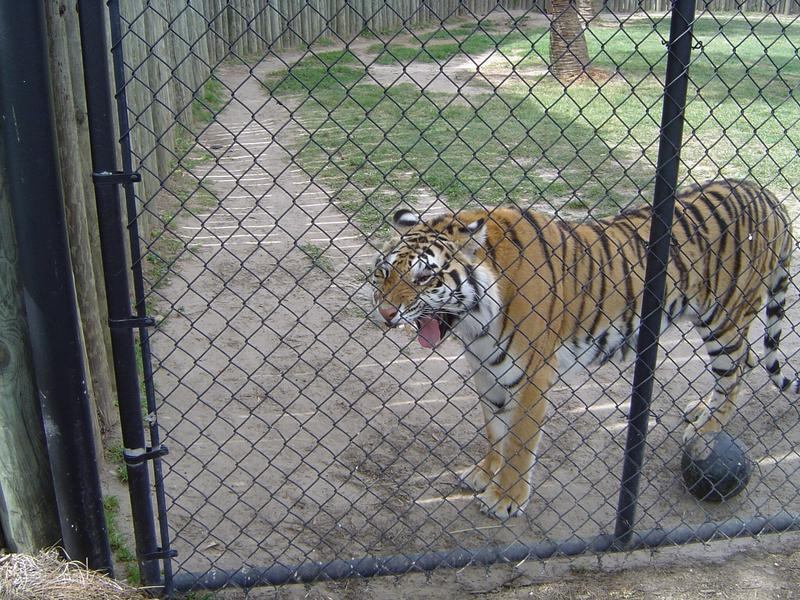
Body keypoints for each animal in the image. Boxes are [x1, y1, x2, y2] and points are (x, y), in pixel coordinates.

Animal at [372, 179, 796, 520]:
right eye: (384, 272)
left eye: (424, 277)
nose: (386, 312)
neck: (475, 321)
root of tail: (768, 194)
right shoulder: (487, 369)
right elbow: (494, 430)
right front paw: (483, 473)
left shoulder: (532, 374)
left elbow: (519, 441)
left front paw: (506, 499)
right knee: (747, 361)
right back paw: (699, 411)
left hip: (725, 317)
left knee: (737, 371)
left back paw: (706, 432)